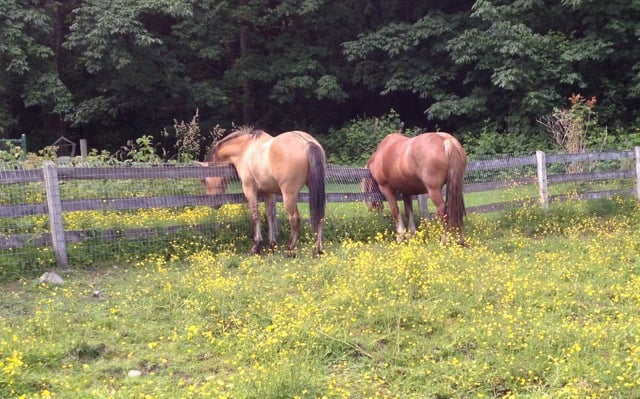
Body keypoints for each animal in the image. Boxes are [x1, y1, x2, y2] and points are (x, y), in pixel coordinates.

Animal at [205, 126, 324, 255]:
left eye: (205, 180)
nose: (214, 205)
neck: (244, 148)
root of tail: (307, 141)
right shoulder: (268, 192)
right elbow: (269, 215)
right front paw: (272, 244)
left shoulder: (249, 190)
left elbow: (255, 215)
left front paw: (256, 245)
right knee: (319, 216)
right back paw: (318, 249)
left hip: (289, 194)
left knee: (294, 219)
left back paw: (291, 249)